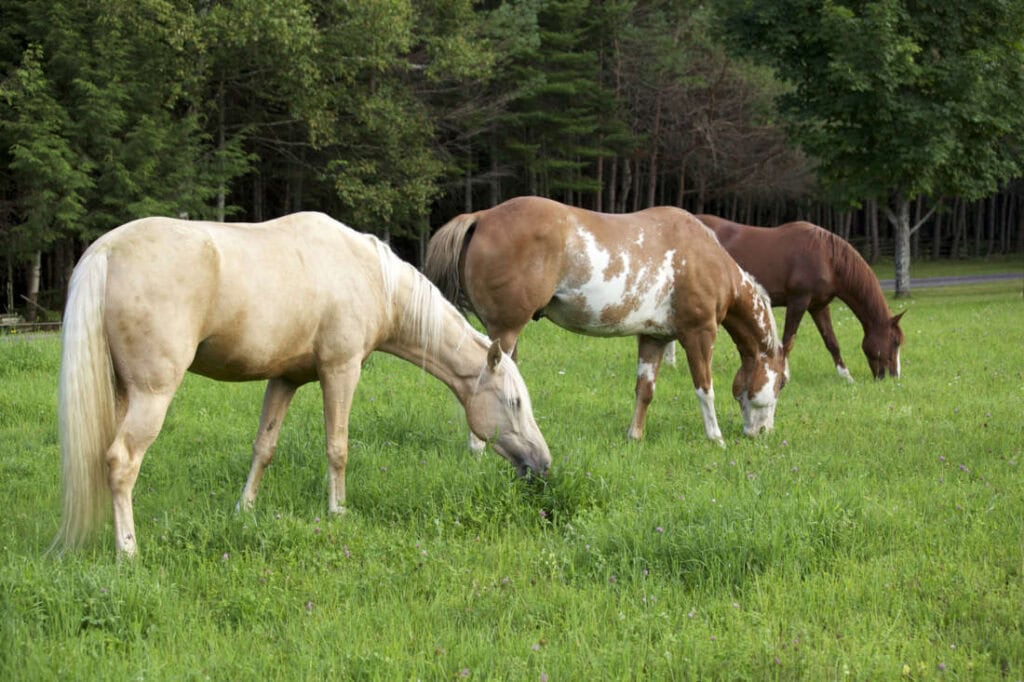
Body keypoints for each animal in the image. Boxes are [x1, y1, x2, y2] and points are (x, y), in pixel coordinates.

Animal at [56, 212, 551, 557]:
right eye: (513, 402)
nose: (543, 465)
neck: (370, 275)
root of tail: (106, 251)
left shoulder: (285, 379)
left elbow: (264, 447)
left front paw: (244, 512)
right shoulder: (341, 370)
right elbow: (338, 447)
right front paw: (337, 512)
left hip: (122, 392)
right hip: (151, 394)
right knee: (122, 461)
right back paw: (128, 551)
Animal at [424, 196, 788, 445]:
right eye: (782, 382)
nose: (763, 432)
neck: (706, 257)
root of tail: (482, 217)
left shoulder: (654, 338)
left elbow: (645, 390)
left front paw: (635, 436)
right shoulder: (699, 335)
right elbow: (705, 389)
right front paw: (716, 438)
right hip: (506, 330)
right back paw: (479, 448)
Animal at [697, 215, 904, 381]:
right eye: (895, 342)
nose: (894, 377)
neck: (827, 259)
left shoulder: (818, 306)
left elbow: (832, 342)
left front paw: (846, 376)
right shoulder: (798, 301)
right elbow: (788, 340)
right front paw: (783, 374)